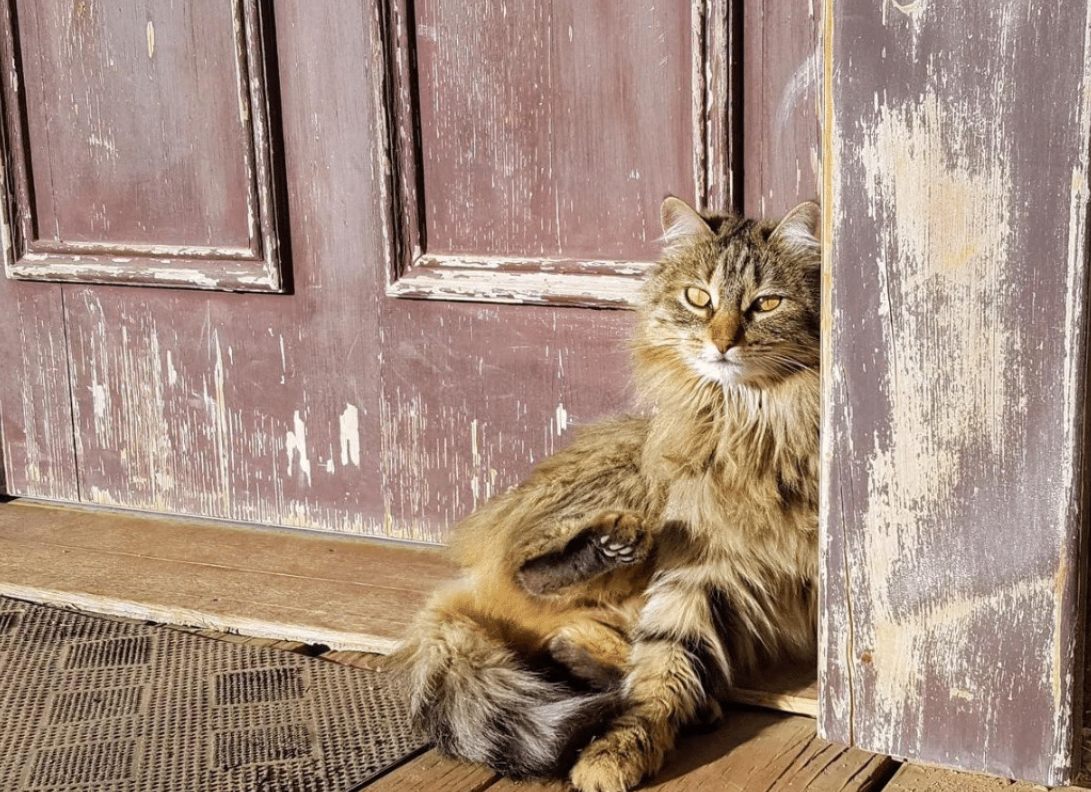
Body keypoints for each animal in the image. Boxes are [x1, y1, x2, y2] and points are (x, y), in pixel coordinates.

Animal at [390, 194, 820, 792]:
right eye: (699, 298)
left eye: (767, 303)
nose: (722, 343)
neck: (757, 422)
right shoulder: (700, 564)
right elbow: (662, 673)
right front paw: (619, 750)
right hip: (632, 485)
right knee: (532, 578)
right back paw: (605, 554)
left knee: (570, 635)